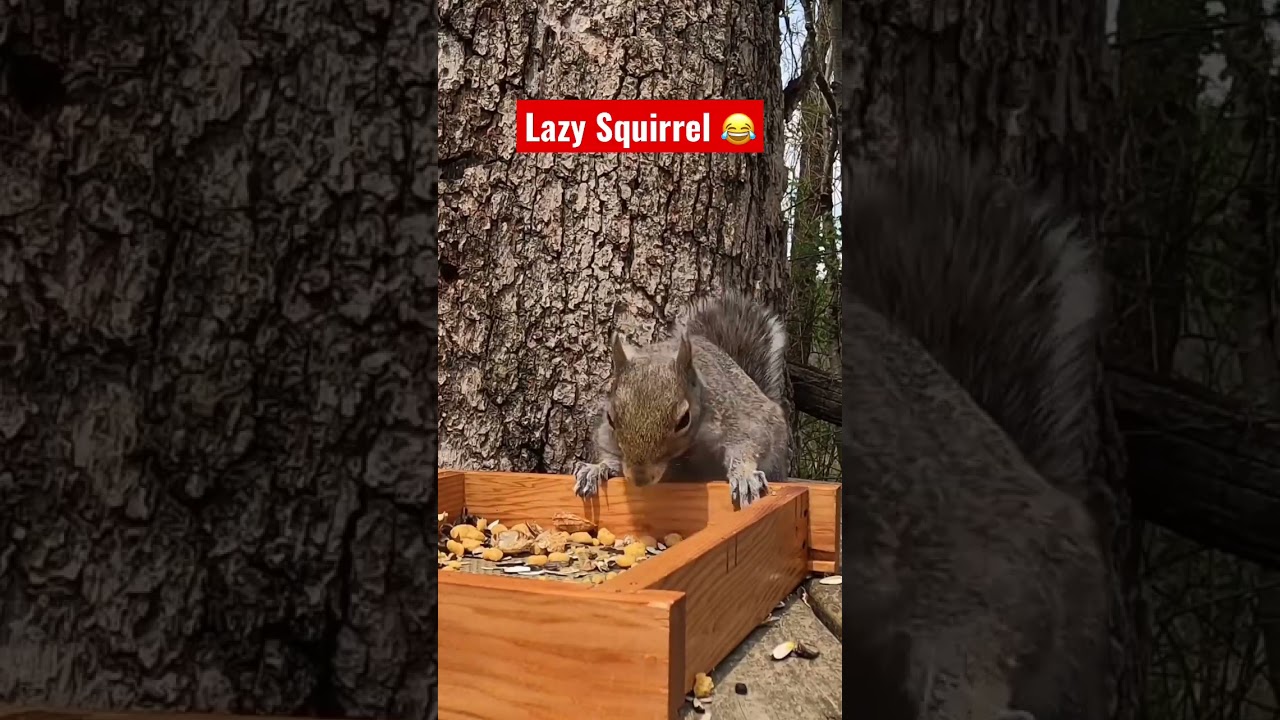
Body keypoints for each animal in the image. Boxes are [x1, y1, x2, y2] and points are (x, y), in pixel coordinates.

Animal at [571, 293, 790, 509]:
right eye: (610, 418)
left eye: (684, 420)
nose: (640, 479)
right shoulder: (606, 436)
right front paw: (597, 468)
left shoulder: (734, 419)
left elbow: (749, 442)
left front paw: (744, 476)